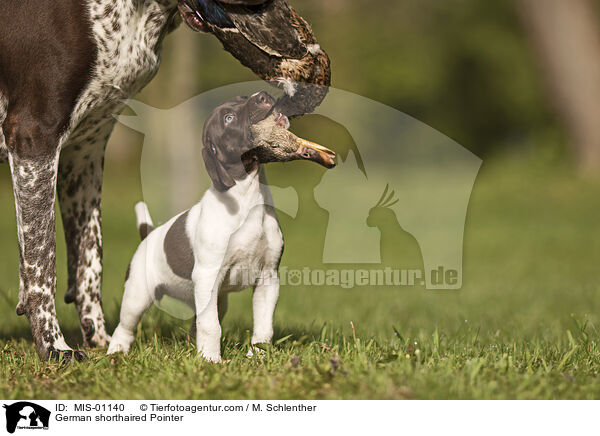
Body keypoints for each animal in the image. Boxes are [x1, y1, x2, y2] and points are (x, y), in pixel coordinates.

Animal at [0, 0, 328, 362]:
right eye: (229, 117)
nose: (311, 52)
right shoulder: (34, 135)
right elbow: (41, 264)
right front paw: (54, 347)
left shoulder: (84, 150)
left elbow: (88, 260)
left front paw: (96, 342)